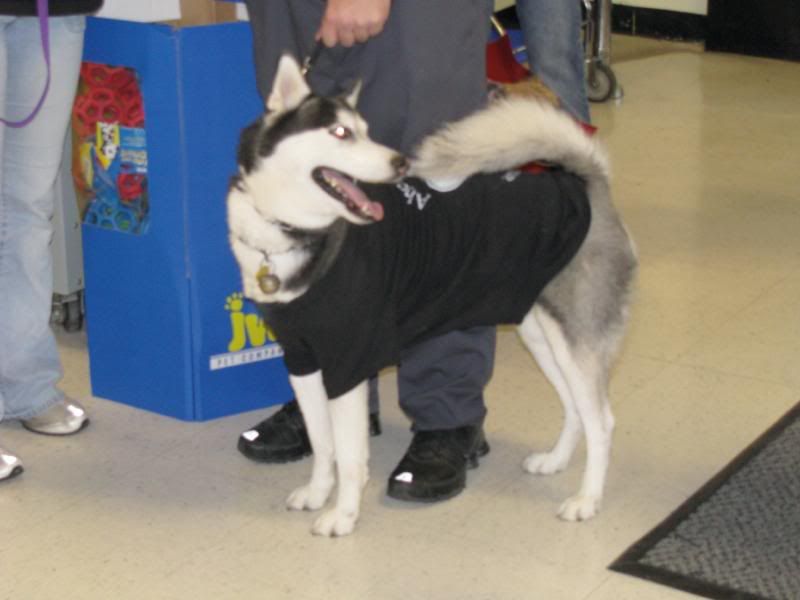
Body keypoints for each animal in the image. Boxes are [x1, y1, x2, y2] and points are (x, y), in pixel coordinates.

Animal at [227, 54, 636, 536]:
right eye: (341, 132)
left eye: (365, 129)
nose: (400, 162)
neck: (301, 232)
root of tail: (588, 184)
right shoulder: (303, 359)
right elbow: (322, 442)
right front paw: (316, 493)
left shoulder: (348, 363)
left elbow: (349, 455)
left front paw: (343, 515)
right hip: (543, 336)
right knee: (575, 407)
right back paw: (555, 462)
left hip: (577, 341)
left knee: (602, 421)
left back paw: (587, 500)